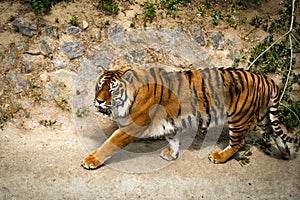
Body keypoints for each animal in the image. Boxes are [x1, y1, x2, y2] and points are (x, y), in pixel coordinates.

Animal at [81, 66, 298, 170]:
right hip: (263, 117)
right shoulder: (169, 123)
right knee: (276, 134)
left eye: (112, 89)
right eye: (100, 86)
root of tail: (267, 79)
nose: (99, 101)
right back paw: (286, 154)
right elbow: (173, 138)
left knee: (239, 142)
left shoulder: (133, 126)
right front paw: (171, 154)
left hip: (239, 117)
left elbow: (110, 143)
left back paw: (219, 157)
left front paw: (91, 160)